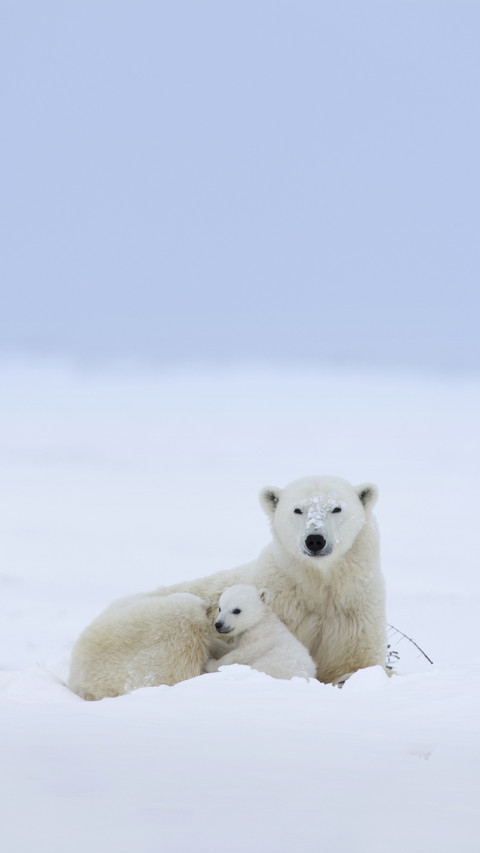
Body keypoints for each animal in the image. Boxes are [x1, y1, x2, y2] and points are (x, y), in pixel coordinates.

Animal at [69, 475, 387, 698]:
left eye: (336, 508)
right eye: (298, 509)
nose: (315, 539)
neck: (316, 584)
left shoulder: (354, 609)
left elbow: (357, 663)